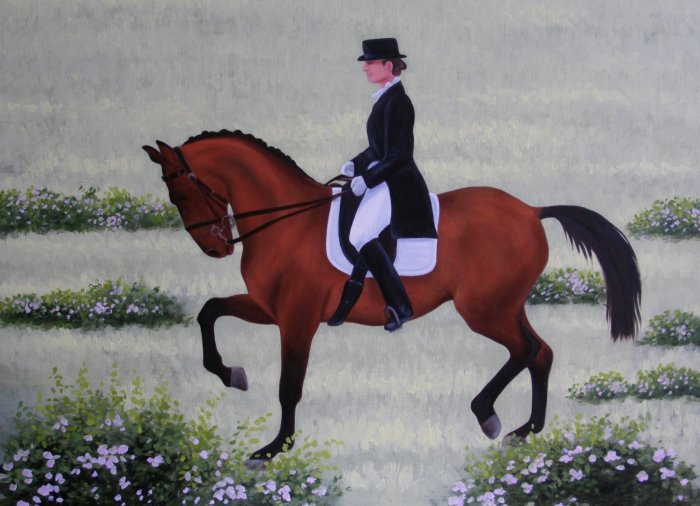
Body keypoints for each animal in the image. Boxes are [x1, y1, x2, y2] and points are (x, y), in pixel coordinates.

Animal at [143, 129, 641, 462]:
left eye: (180, 191)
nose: (215, 248)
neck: (289, 222)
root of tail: (532, 211)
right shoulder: (270, 309)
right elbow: (209, 312)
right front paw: (232, 374)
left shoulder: (297, 319)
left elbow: (289, 386)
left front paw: (273, 447)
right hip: (505, 306)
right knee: (541, 352)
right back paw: (526, 429)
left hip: (484, 311)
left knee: (525, 350)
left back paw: (488, 415)